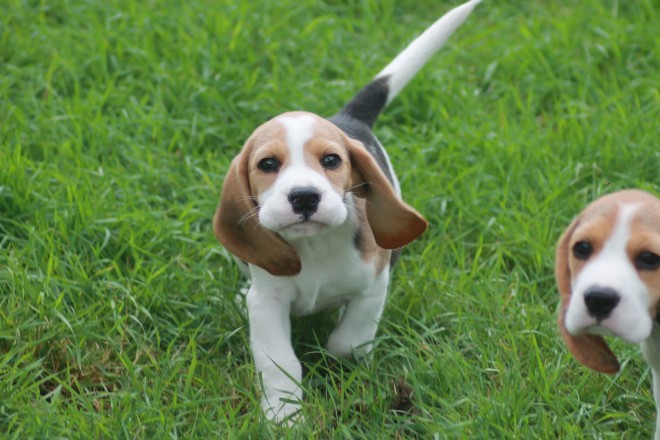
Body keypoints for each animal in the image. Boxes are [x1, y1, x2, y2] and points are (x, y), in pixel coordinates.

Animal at [214, 0, 482, 422]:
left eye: (331, 160)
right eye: (267, 164)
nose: (304, 197)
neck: (315, 247)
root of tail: (348, 119)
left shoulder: (373, 286)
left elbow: (348, 341)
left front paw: (338, 360)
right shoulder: (268, 303)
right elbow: (279, 362)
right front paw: (283, 417)